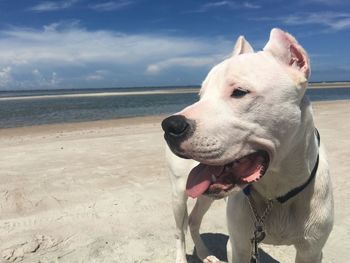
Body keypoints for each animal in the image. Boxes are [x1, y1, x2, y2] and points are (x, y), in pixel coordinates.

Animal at [161, 27, 334, 262]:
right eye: (201, 95)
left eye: (239, 92)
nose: (170, 126)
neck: (276, 194)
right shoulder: (238, 246)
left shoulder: (312, 251)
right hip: (179, 192)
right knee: (180, 230)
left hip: (205, 194)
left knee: (194, 220)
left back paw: (206, 254)